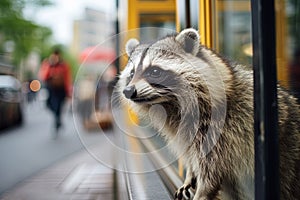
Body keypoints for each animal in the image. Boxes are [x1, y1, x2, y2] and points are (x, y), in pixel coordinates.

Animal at [116, 28, 300, 200]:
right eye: (131, 73)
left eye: (154, 71)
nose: (128, 91)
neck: (170, 104)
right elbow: (190, 154)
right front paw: (190, 173)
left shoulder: (223, 130)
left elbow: (211, 170)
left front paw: (202, 191)